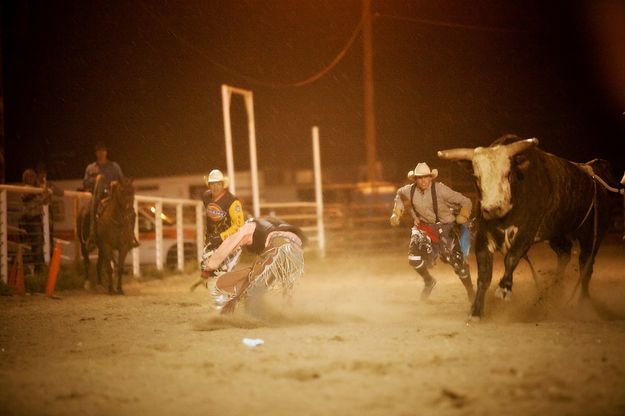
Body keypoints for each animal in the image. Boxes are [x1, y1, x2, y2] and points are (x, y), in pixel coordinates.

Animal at [436, 133, 620, 318]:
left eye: (508, 173)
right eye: (476, 176)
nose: (493, 207)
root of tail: (594, 176)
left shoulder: (527, 232)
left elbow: (511, 257)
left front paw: (504, 289)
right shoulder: (483, 234)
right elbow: (484, 275)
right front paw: (476, 311)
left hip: (592, 235)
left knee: (585, 264)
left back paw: (583, 301)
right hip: (557, 234)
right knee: (564, 254)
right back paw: (554, 291)